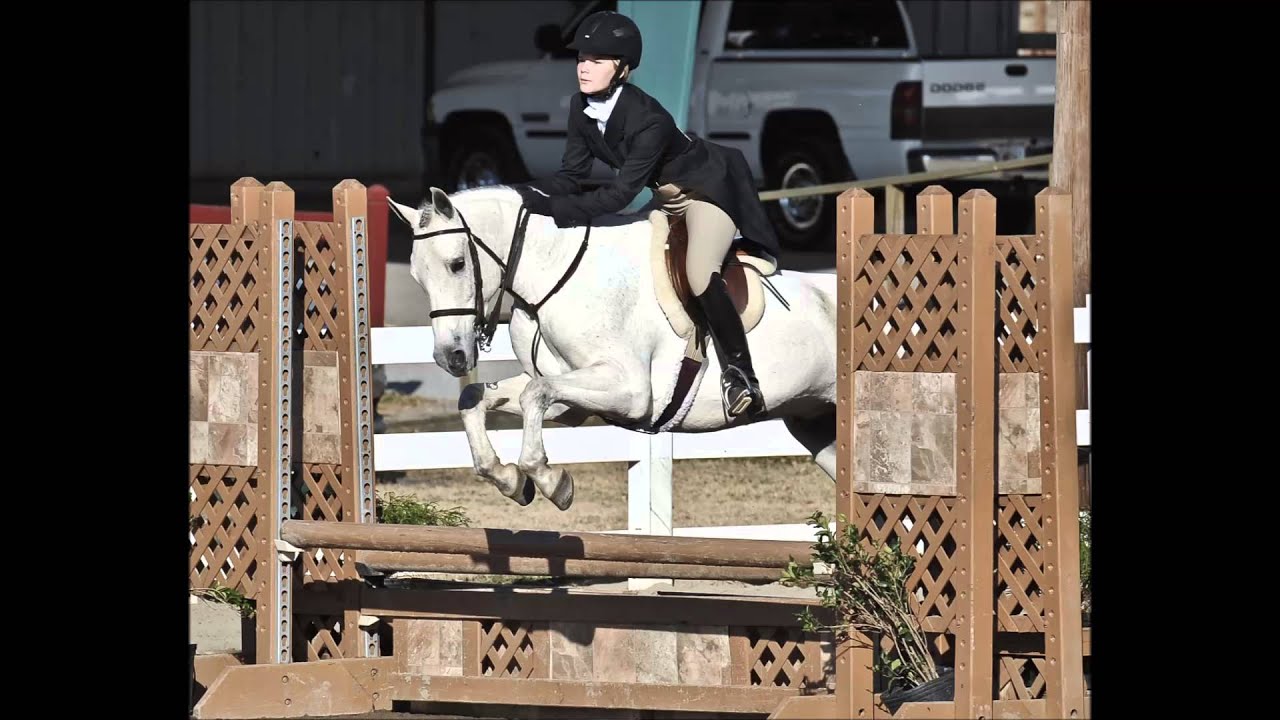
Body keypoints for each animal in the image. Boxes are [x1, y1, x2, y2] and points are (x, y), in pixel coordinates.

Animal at [387, 185, 838, 510]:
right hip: (818, 429)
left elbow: (534, 394)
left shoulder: (632, 392)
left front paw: (549, 480)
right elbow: (476, 399)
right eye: (417, 276)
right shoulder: (572, 401)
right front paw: (509, 478)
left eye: (457, 264)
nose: (451, 357)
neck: (554, 275)